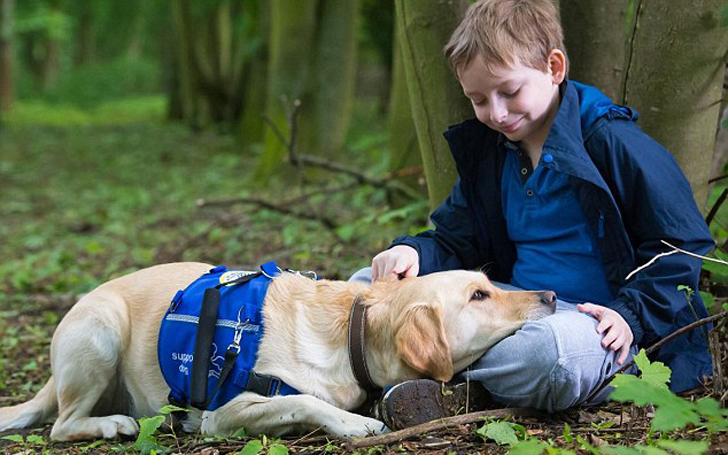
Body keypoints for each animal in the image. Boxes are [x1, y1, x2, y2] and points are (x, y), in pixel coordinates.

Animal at [0, 264, 552, 442]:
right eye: (478, 296)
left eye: (489, 285)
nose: (549, 295)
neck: (350, 335)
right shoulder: (223, 414)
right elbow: (303, 400)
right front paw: (356, 423)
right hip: (102, 330)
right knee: (60, 425)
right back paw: (112, 424)